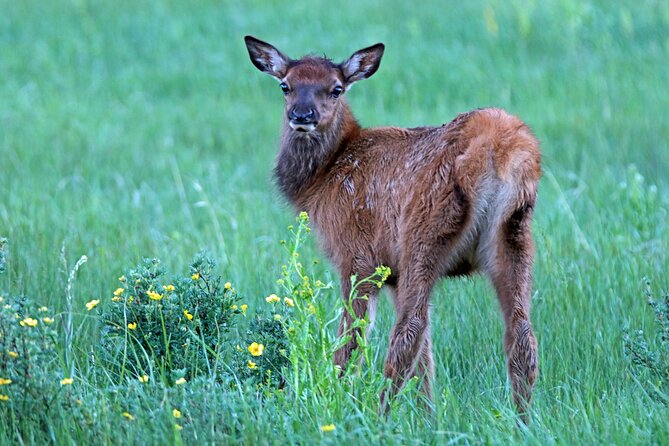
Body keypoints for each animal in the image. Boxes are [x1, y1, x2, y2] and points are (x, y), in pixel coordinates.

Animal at [244, 35, 541, 419]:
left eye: (336, 89)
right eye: (286, 85)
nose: (302, 116)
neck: (322, 179)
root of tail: (496, 147)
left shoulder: (358, 257)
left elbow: (353, 337)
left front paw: (333, 400)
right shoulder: (393, 275)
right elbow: (426, 360)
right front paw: (429, 417)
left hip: (423, 232)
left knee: (408, 329)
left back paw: (379, 414)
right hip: (515, 233)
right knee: (520, 332)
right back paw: (523, 420)